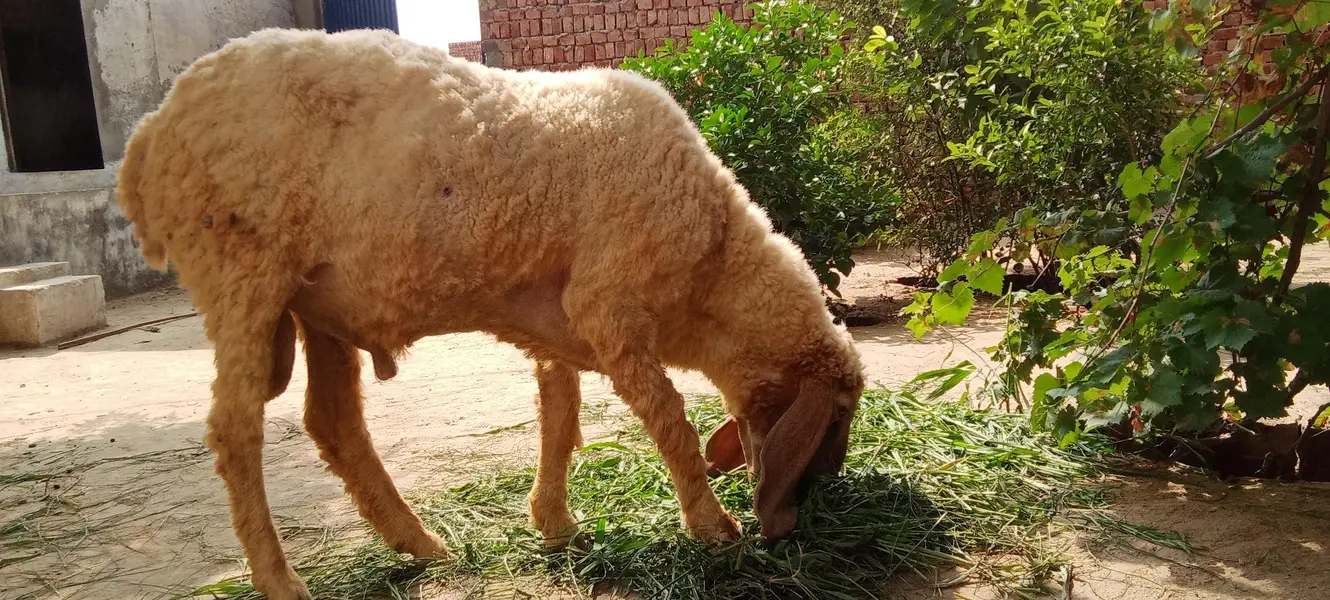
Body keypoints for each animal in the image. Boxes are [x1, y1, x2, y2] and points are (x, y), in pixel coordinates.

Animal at [115, 27, 865, 600]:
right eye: (839, 413)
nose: (824, 488)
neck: (714, 260)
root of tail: (148, 136)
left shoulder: (559, 321)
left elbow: (560, 417)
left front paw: (554, 522)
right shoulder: (607, 304)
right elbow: (670, 421)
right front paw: (714, 528)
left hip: (318, 304)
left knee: (332, 421)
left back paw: (420, 544)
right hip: (242, 273)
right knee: (235, 431)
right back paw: (281, 580)